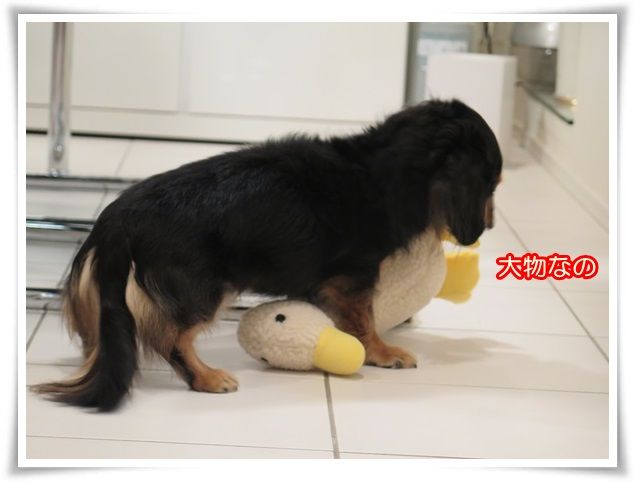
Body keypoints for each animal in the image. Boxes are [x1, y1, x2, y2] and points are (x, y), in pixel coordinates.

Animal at [32, 99, 502, 411]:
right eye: (491, 185)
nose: (491, 226)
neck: (383, 168)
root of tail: (121, 213)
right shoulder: (353, 279)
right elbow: (365, 323)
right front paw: (382, 353)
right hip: (204, 288)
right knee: (170, 337)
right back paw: (206, 378)